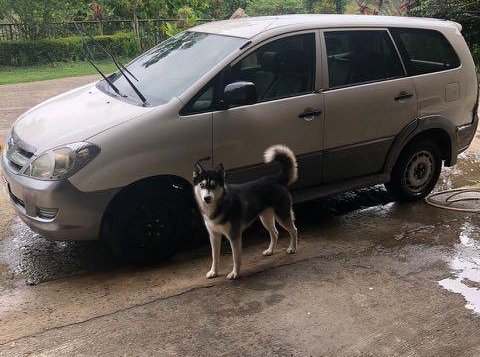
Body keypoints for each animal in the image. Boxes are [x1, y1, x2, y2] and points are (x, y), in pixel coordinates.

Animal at [193, 145, 298, 278]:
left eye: (214, 185)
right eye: (202, 185)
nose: (207, 198)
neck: (219, 205)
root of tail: (276, 179)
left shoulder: (234, 236)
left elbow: (236, 257)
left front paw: (235, 273)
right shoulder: (214, 235)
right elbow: (214, 257)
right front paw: (213, 272)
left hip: (282, 215)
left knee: (293, 230)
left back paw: (292, 248)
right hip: (265, 218)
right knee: (275, 233)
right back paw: (270, 250)